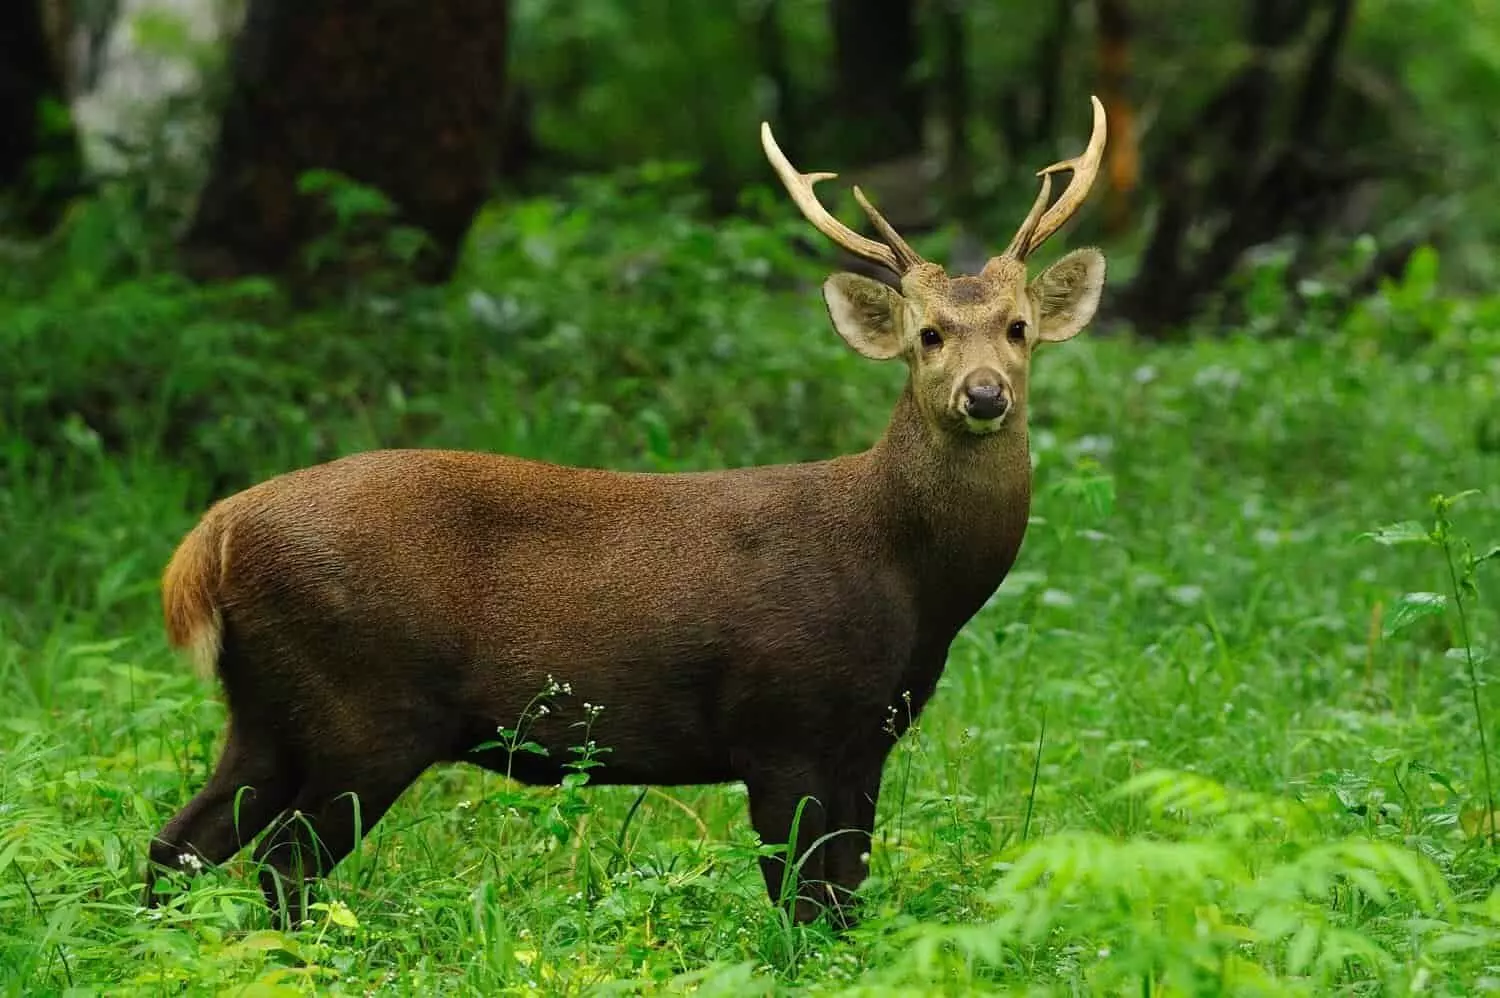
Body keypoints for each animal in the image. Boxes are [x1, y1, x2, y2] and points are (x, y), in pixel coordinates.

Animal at [141, 99, 1110, 924]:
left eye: (1019, 328)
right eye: (927, 336)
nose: (983, 395)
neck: (906, 577)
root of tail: (214, 531)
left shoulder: (866, 736)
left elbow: (846, 895)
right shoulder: (780, 719)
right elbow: (801, 903)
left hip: (265, 704)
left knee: (180, 842)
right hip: (364, 702)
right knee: (282, 862)